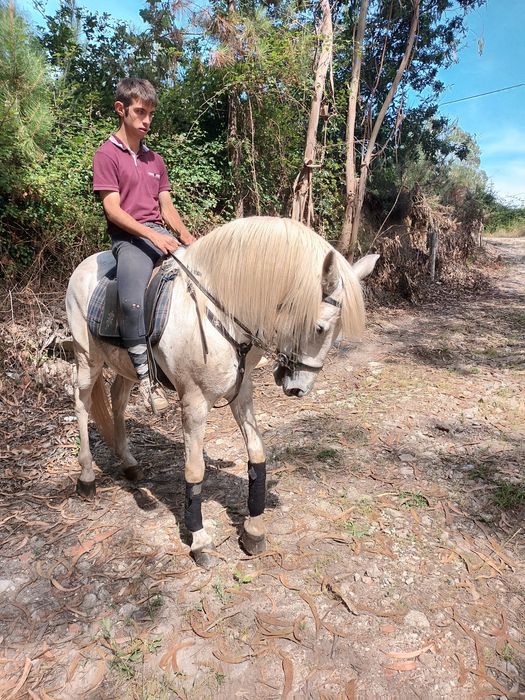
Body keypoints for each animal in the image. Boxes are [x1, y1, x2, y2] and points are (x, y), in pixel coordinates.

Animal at [66, 216, 378, 568]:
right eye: (319, 327)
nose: (300, 388)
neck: (221, 312)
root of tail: (85, 265)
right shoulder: (194, 402)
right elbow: (195, 469)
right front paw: (200, 539)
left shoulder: (241, 392)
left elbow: (257, 454)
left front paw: (254, 529)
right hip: (87, 358)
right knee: (81, 404)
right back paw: (87, 478)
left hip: (124, 366)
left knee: (118, 401)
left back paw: (129, 462)